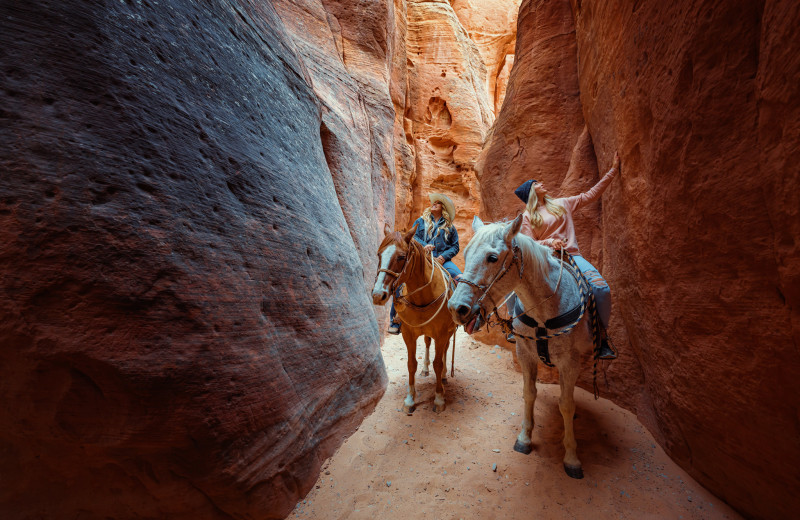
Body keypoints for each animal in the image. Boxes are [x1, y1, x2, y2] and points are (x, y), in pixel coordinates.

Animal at [374, 223, 460, 414]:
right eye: (378, 254)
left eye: (401, 256)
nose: (377, 295)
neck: (423, 297)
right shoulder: (409, 334)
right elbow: (411, 364)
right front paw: (410, 400)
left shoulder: (442, 334)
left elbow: (438, 363)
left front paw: (439, 398)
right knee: (427, 343)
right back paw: (425, 369)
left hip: (448, 332)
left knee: (445, 351)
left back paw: (444, 376)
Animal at [450, 213, 592, 478]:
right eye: (466, 253)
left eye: (493, 257)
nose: (457, 308)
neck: (544, 313)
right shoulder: (525, 353)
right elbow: (529, 393)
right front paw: (525, 439)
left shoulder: (569, 363)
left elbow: (566, 405)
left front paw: (571, 458)